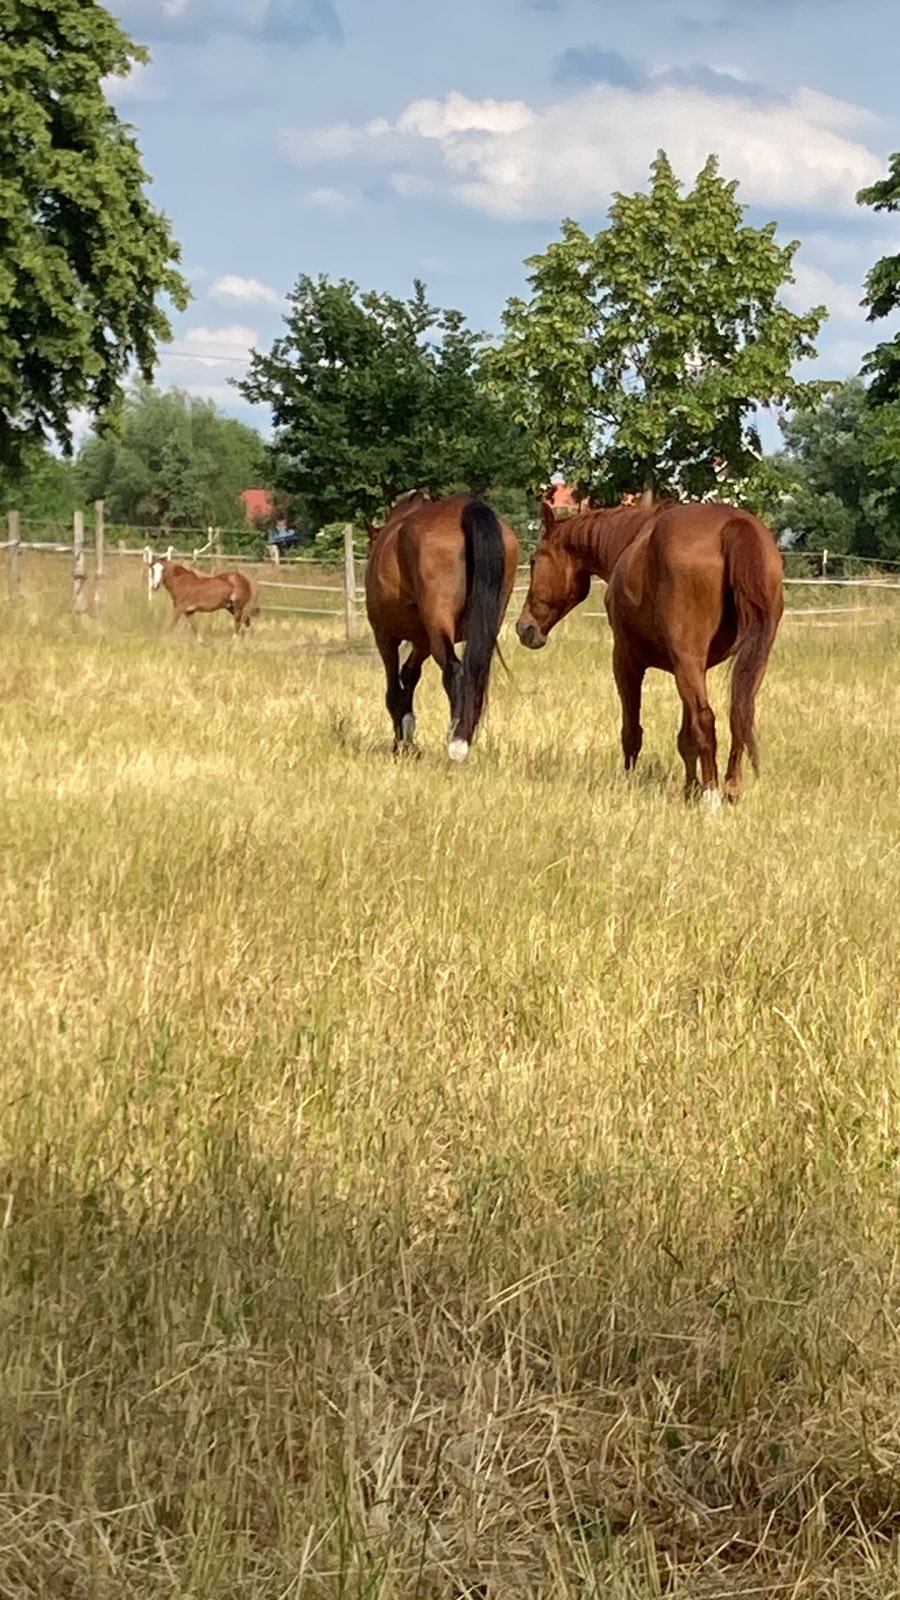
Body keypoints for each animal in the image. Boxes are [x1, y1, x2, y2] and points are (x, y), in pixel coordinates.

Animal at [365, 491, 520, 760]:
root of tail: (466, 509)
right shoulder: (423, 641)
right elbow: (409, 674)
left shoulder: (385, 637)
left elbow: (394, 689)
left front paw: (400, 744)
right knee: (475, 674)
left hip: (436, 625)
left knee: (454, 671)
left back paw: (456, 743)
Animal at [516, 498, 783, 809]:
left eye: (534, 561)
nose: (525, 628)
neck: (632, 538)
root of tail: (732, 524)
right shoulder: (694, 669)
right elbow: (685, 739)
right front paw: (690, 789)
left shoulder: (627, 661)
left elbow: (632, 731)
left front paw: (630, 784)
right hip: (749, 661)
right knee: (738, 714)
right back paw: (730, 789)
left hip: (686, 662)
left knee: (706, 720)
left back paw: (712, 797)